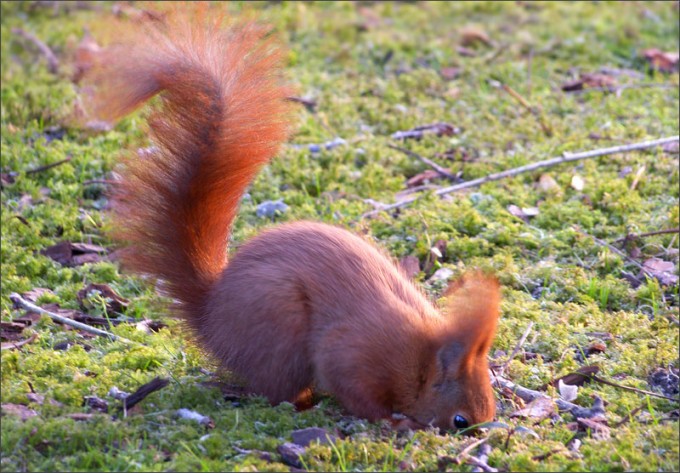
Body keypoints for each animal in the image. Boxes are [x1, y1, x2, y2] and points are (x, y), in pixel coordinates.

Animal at [81, 7, 502, 432]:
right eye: (461, 420)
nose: (486, 431)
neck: (419, 358)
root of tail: (211, 315)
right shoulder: (354, 352)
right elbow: (355, 389)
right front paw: (392, 420)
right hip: (280, 325)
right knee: (275, 389)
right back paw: (303, 404)